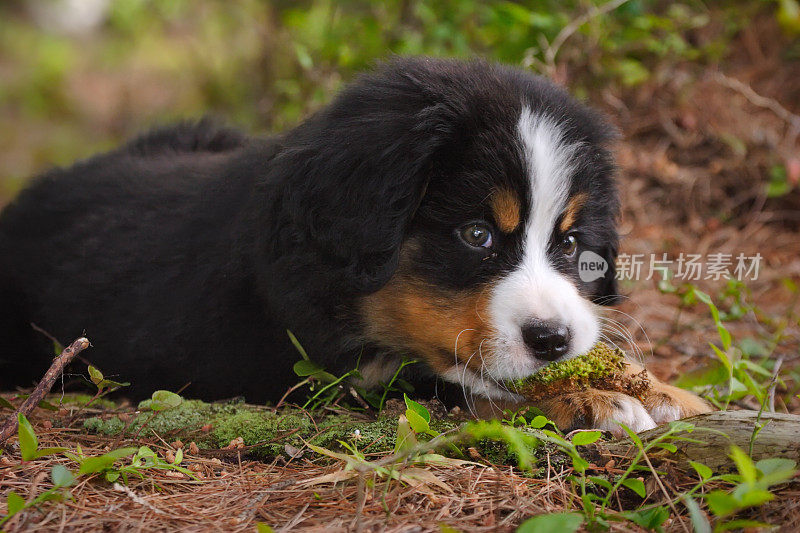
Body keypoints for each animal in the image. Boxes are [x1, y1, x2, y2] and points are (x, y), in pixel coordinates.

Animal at [0, 58, 712, 432]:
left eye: (569, 246)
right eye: (476, 235)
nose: (553, 340)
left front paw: (669, 392)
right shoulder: (323, 374)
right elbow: (461, 382)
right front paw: (599, 401)